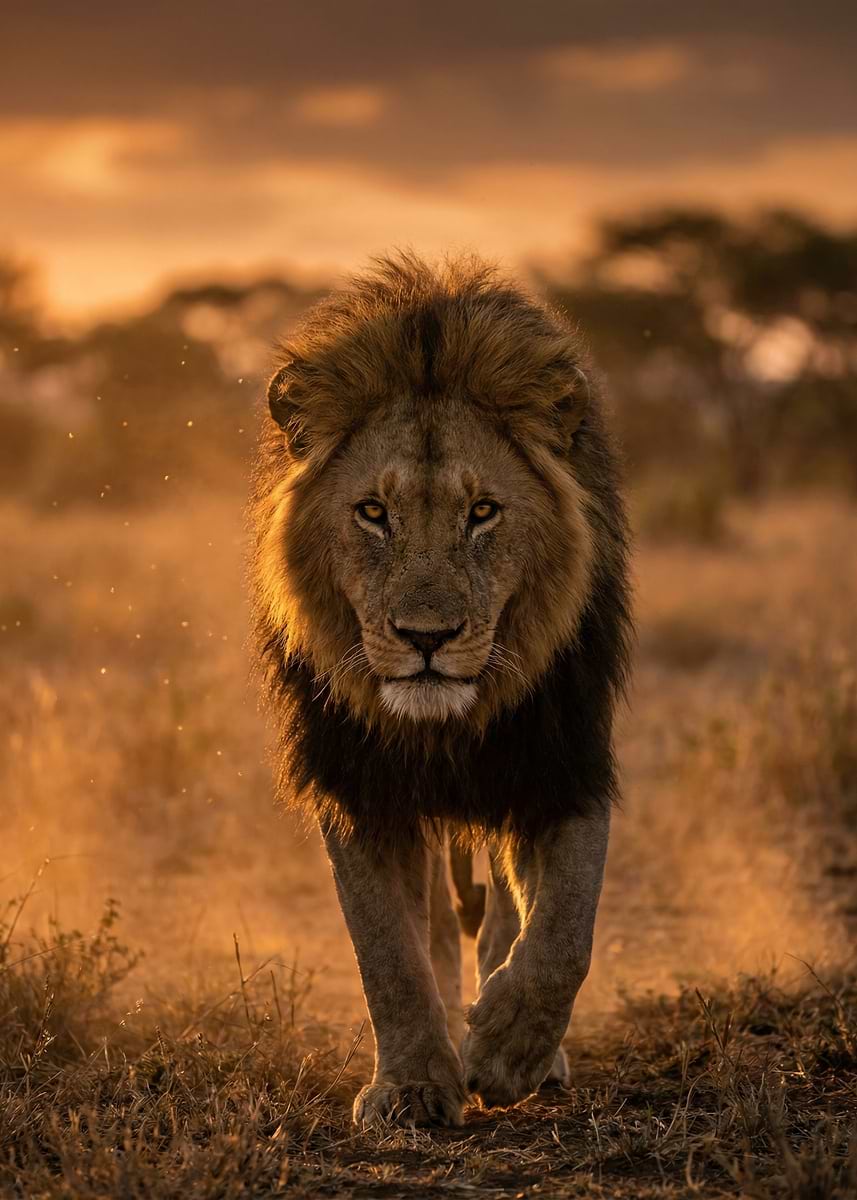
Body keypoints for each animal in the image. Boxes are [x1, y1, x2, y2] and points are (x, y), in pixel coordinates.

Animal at [251, 252, 632, 1128]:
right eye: (372, 512)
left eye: (483, 511)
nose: (426, 638)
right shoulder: (356, 785)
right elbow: (387, 954)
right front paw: (413, 1085)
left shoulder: (563, 762)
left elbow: (566, 928)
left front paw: (509, 1049)